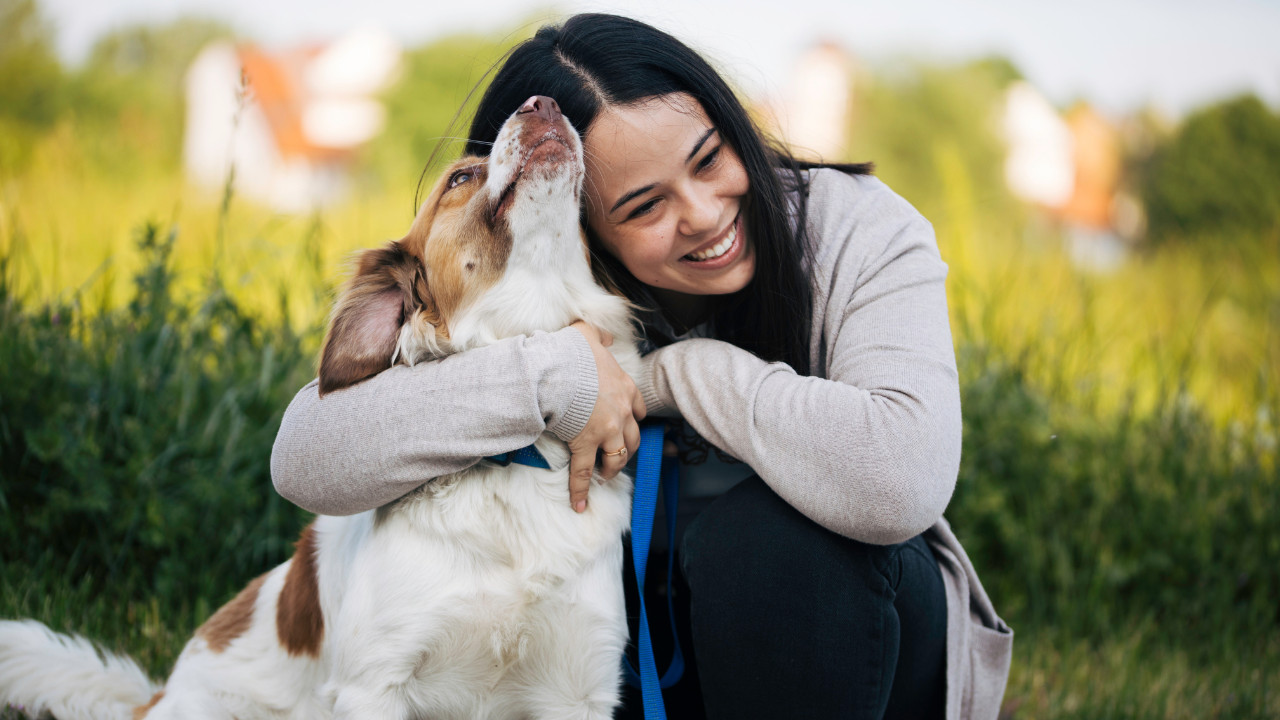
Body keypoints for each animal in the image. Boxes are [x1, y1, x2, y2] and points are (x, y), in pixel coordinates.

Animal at [0, 95, 640, 717]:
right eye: (460, 177)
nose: (545, 103)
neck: (515, 461)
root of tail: (153, 699)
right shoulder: (375, 684)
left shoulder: (577, 688)